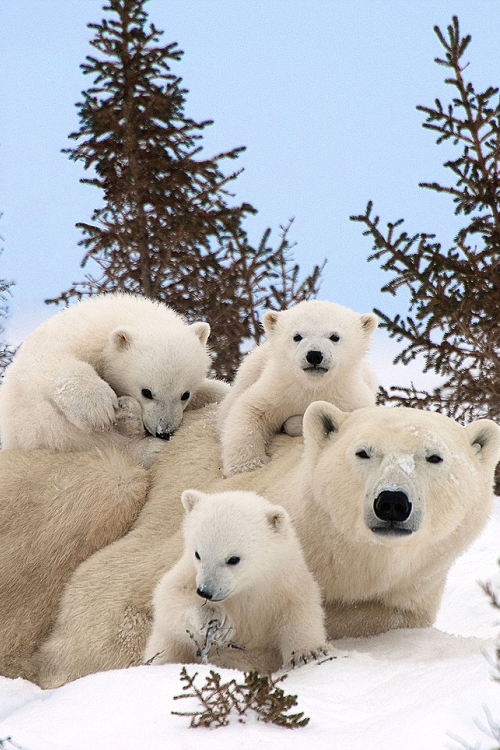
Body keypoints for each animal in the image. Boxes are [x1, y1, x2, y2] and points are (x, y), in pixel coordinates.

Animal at [0, 293, 229, 466]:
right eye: (147, 392)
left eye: (185, 394)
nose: (163, 432)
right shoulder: (70, 339)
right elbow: (54, 361)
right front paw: (98, 408)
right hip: (41, 427)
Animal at [144, 488, 335, 673]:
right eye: (197, 554)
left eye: (233, 559)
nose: (205, 591)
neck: (247, 588)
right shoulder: (189, 572)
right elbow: (169, 597)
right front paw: (217, 620)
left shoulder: (285, 581)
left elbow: (300, 609)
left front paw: (309, 653)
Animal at [217, 299, 379, 476]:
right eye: (297, 336)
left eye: (335, 336)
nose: (314, 355)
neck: (312, 386)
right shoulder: (278, 389)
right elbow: (250, 410)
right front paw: (248, 465)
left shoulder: (349, 397)